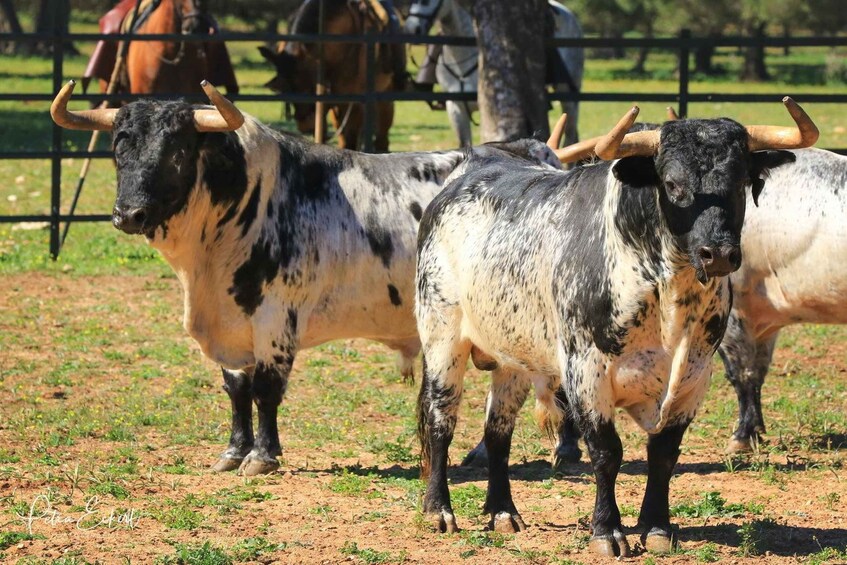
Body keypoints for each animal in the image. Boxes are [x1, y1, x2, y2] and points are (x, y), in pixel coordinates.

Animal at [48, 79, 564, 476]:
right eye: (119, 146)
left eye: (176, 149)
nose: (128, 214)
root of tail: (533, 150)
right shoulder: (232, 324)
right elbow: (237, 389)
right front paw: (233, 452)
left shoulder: (276, 319)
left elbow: (266, 390)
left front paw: (262, 456)